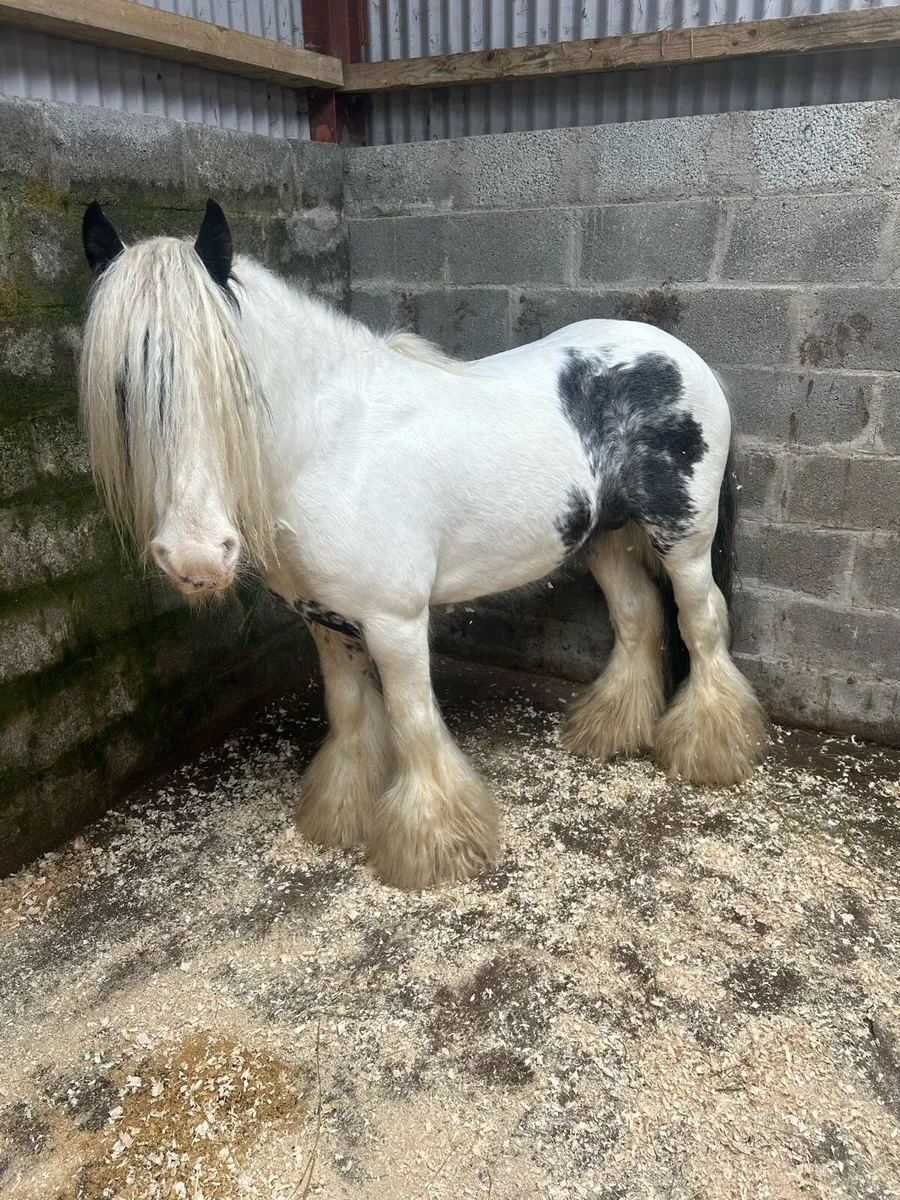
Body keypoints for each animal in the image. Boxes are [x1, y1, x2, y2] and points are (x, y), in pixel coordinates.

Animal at [78, 199, 768, 891]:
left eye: (234, 382)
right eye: (122, 389)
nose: (195, 556)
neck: (333, 447)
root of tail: (678, 354)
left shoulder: (395, 621)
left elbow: (411, 721)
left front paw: (434, 846)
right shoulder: (324, 620)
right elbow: (351, 713)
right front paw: (341, 815)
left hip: (682, 539)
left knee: (701, 623)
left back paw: (709, 751)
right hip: (608, 539)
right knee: (637, 617)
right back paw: (610, 730)